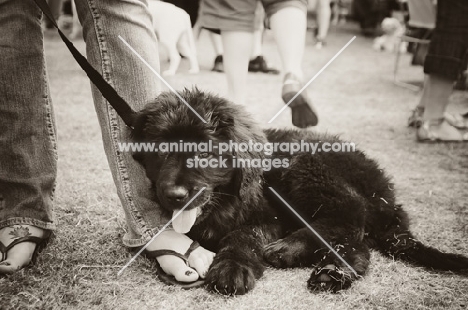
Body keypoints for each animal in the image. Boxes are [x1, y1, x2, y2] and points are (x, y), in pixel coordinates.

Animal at [132, 88, 468, 294]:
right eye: (161, 150)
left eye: (204, 153)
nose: (175, 195)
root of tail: (386, 194)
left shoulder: (270, 218)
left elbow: (243, 235)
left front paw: (232, 267)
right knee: (358, 244)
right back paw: (333, 271)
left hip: (306, 165)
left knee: (349, 214)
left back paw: (289, 249)